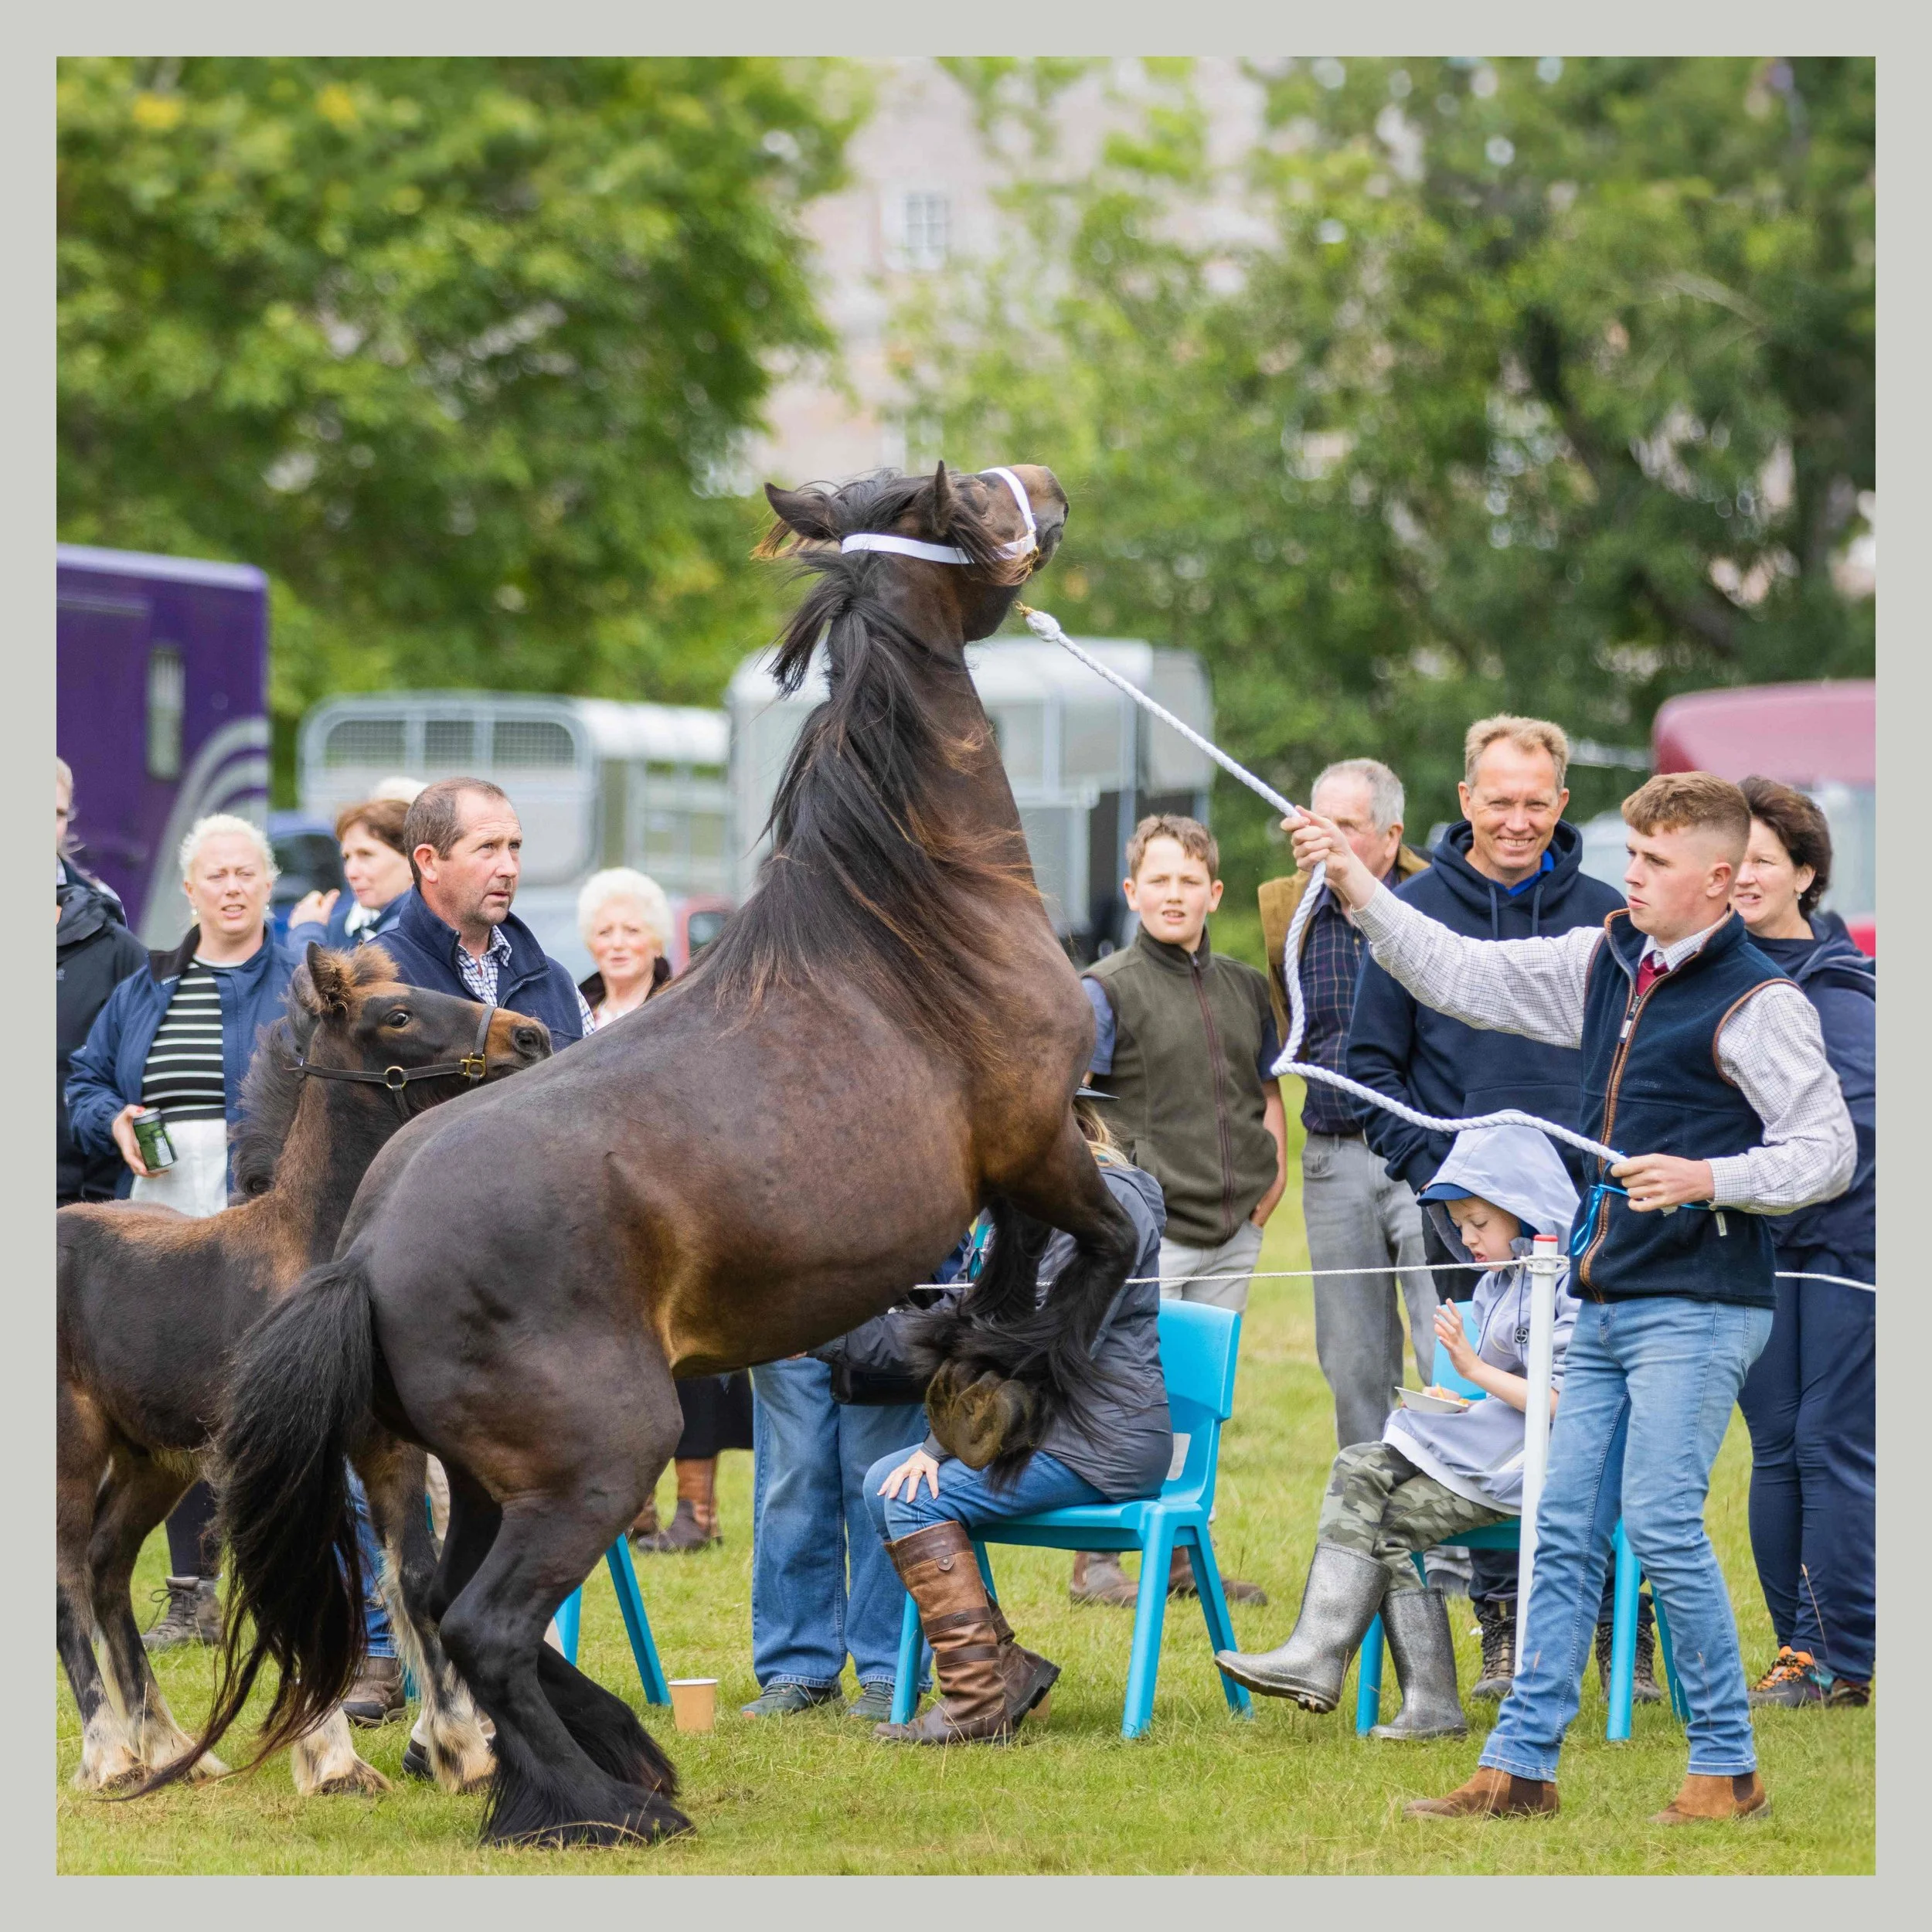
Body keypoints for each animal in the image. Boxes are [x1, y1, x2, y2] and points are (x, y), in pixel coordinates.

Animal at [57, 943, 549, 1797]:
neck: (316, 1259)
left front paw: (464, 1752)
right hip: (73, 1448)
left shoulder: (389, 1451)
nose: (531, 1036)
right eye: (398, 1014)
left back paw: (173, 1748)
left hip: (154, 1460)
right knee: (68, 1588)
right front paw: (333, 1763)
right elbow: (301, 1586)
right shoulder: (278, 1460)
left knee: (107, 1566)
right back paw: (111, 1756)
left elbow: (417, 1583)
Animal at [160, 461, 1139, 1847]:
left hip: (498, 1474)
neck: (912, 929)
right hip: (603, 1457)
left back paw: (592, 1765)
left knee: (449, 1600)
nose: (1046, 487)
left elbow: (1012, 1273)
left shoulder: (1011, 1173)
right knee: (487, 1622)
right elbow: (1100, 1248)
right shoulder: (1041, 1139)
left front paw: (968, 1359)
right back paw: (599, 1803)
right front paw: (1009, 1391)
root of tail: (368, 1252)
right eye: (966, 504)